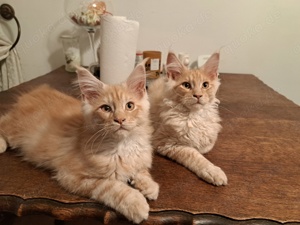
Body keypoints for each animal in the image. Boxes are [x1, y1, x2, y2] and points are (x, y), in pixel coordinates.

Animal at [0, 61, 159, 223]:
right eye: (106, 108)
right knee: (3, 121)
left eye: (129, 106)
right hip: (16, 130)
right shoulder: (73, 176)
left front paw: (149, 186)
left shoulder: (138, 158)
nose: (120, 119)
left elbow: (141, 171)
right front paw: (136, 203)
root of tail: (34, 91)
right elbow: (113, 187)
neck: (122, 145)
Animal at [148, 51, 227, 186]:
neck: (194, 116)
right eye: (186, 85)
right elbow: (194, 154)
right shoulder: (165, 142)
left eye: (205, 85)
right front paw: (212, 171)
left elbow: (206, 146)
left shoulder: (211, 134)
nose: (198, 95)